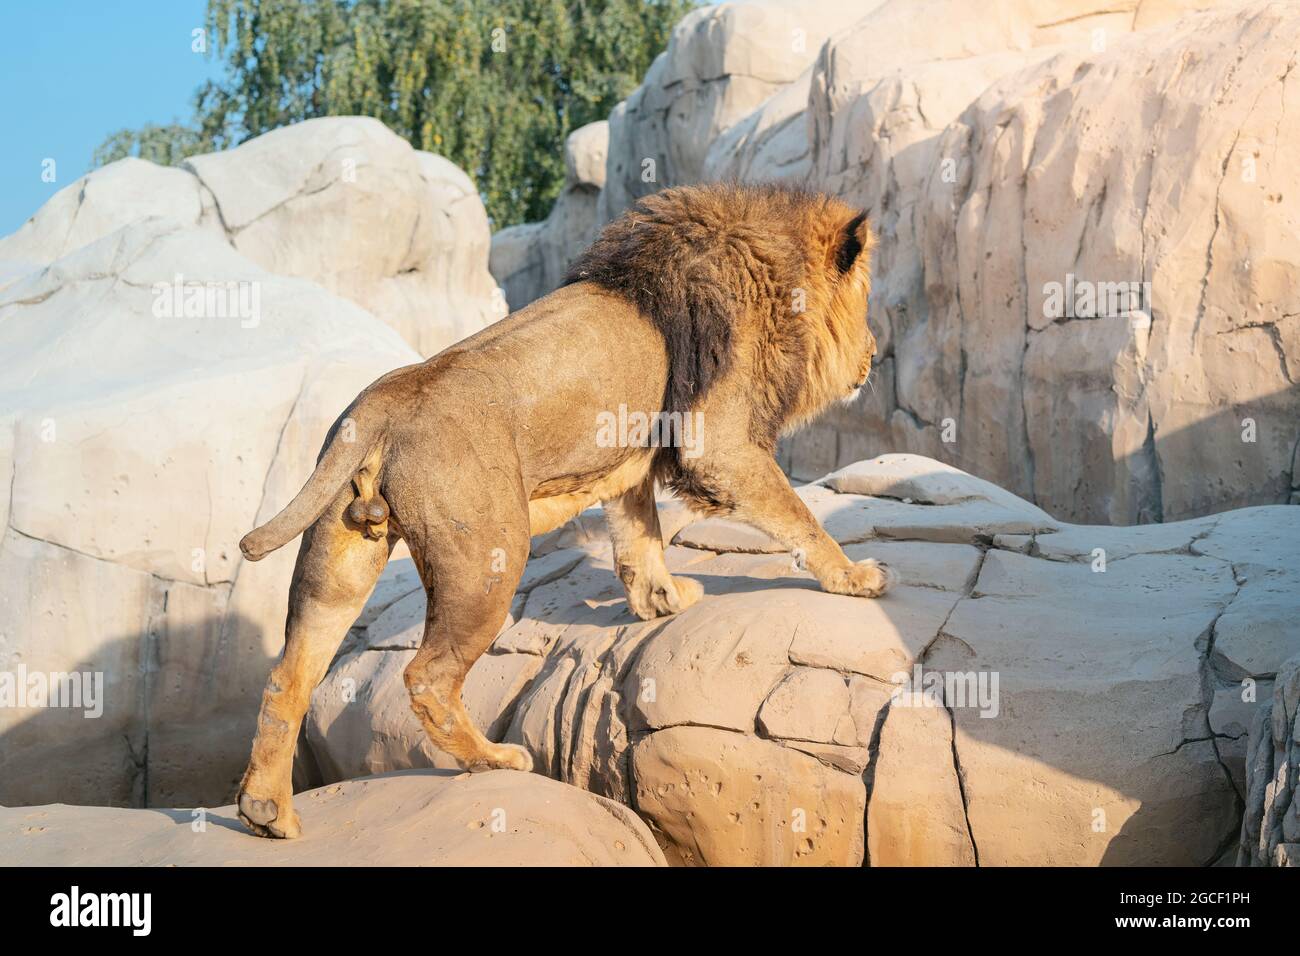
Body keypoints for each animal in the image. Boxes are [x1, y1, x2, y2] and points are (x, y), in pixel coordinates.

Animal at [233, 180, 894, 837]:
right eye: (867, 301)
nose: (874, 354)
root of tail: (383, 400)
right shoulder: (719, 444)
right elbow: (797, 513)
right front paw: (855, 576)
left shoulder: (632, 453)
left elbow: (640, 538)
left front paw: (663, 600)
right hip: (488, 561)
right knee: (427, 678)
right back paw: (495, 759)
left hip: (337, 557)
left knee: (287, 676)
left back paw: (267, 811)